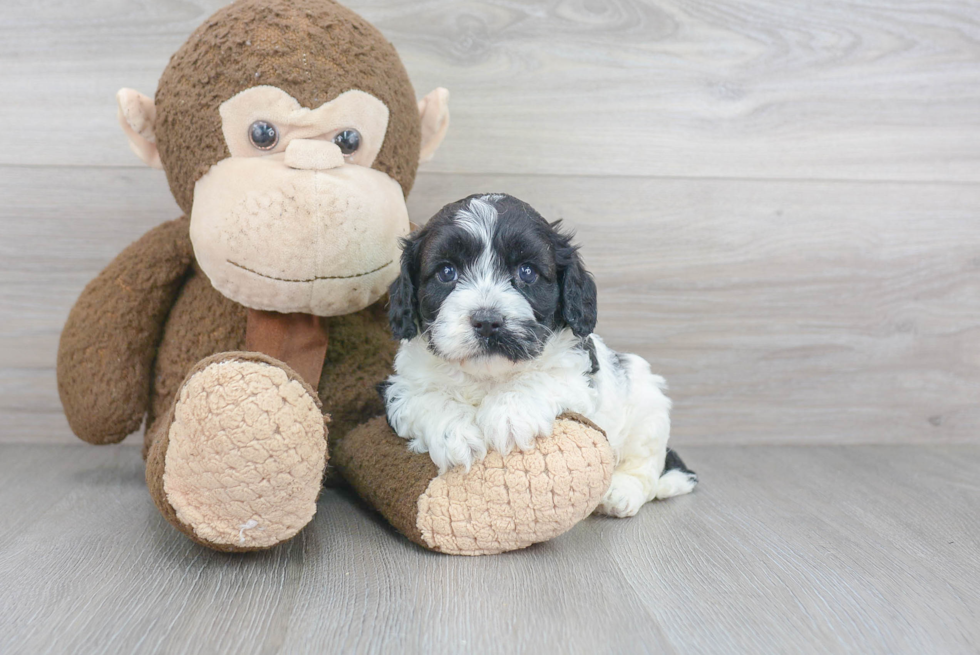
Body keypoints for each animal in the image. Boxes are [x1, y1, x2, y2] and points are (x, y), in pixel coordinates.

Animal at [382, 195, 696, 516]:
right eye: (447, 272)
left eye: (527, 272)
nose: (487, 321)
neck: (489, 376)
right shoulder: (400, 388)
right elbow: (427, 398)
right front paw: (457, 434)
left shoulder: (576, 373)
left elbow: (541, 378)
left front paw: (508, 414)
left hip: (648, 407)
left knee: (646, 465)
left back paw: (621, 492)